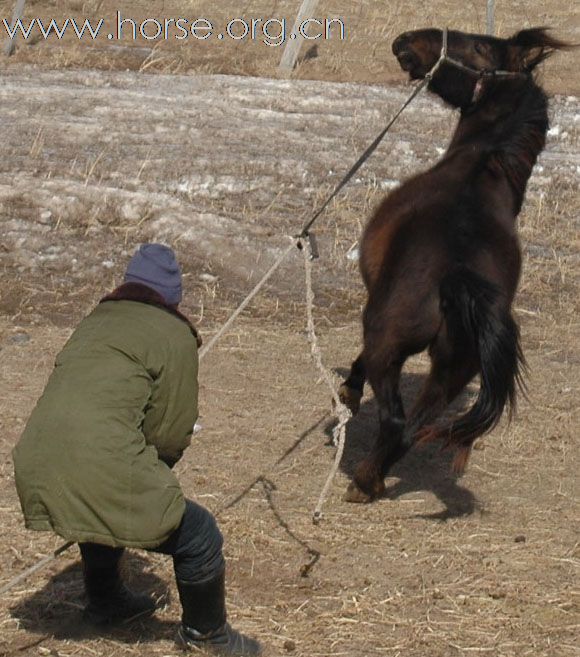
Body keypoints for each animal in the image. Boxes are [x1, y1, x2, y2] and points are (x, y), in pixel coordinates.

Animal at [340, 25, 572, 502]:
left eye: (479, 47)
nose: (406, 41)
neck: (483, 161)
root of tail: (459, 276)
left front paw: (348, 392)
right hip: (453, 371)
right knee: (410, 429)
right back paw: (371, 477)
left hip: (387, 340)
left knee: (394, 416)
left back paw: (361, 480)